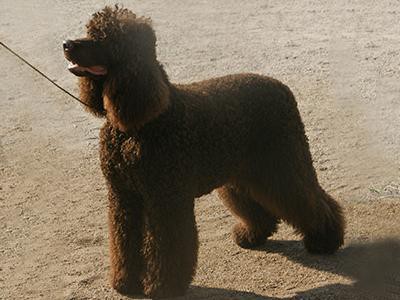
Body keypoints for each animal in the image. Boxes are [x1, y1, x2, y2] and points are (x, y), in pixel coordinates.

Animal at [62, 5, 344, 298]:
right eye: (89, 30)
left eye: (104, 37)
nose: (66, 44)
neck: (141, 124)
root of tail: (282, 87)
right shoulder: (123, 196)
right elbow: (124, 241)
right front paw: (125, 283)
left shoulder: (166, 199)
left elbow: (169, 247)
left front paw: (163, 287)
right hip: (242, 174)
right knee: (260, 207)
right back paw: (252, 236)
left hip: (282, 163)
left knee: (311, 200)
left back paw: (325, 240)